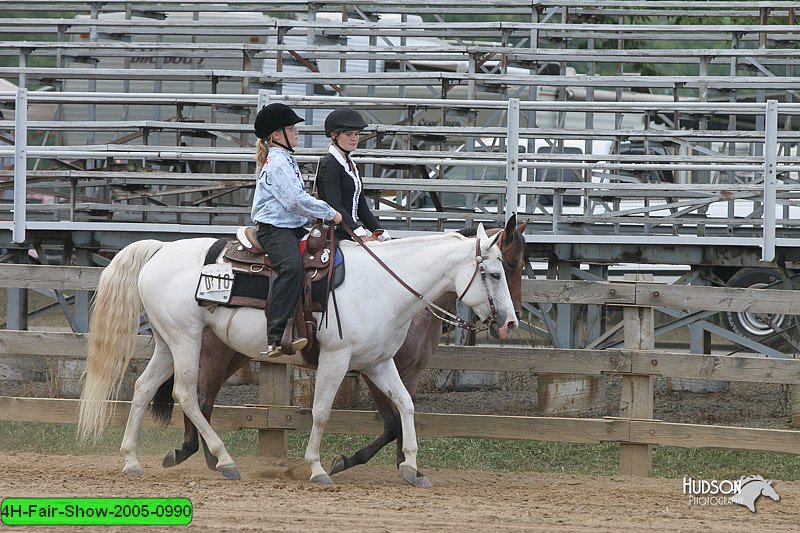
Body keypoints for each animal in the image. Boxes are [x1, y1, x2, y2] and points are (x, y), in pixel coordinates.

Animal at [78, 222, 520, 484]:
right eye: (496, 272)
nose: (510, 323)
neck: (382, 286)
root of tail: (159, 251)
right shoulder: (337, 359)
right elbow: (322, 412)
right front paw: (319, 467)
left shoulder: (378, 363)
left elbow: (405, 407)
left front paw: (411, 466)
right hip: (187, 340)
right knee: (187, 394)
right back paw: (224, 460)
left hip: (169, 342)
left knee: (143, 388)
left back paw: (132, 461)